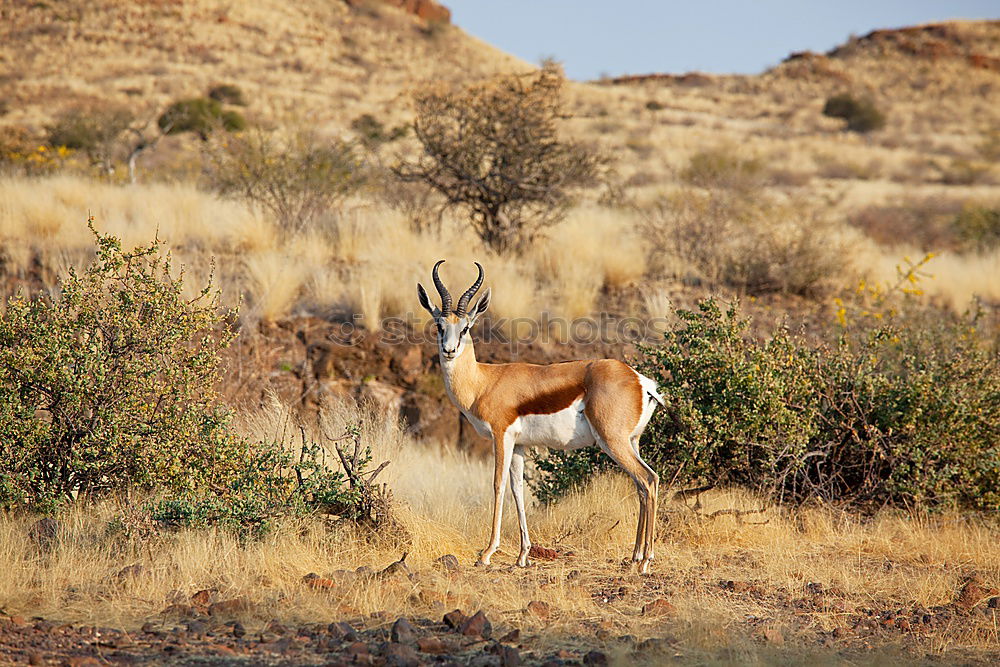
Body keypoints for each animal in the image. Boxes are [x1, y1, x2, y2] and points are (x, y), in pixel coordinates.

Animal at [418, 260, 668, 576]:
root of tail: (640, 381)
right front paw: (522, 555)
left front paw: (486, 554)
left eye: (466, 328)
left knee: (648, 479)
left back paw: (646, 560)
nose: (449, 351)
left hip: (613, 442)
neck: (483, 382)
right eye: (440, 326)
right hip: (631, 442)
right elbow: (518, 489)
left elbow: (498, 485)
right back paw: (635, 556)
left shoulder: (501, 436)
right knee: (643, 484)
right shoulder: (520, 445)